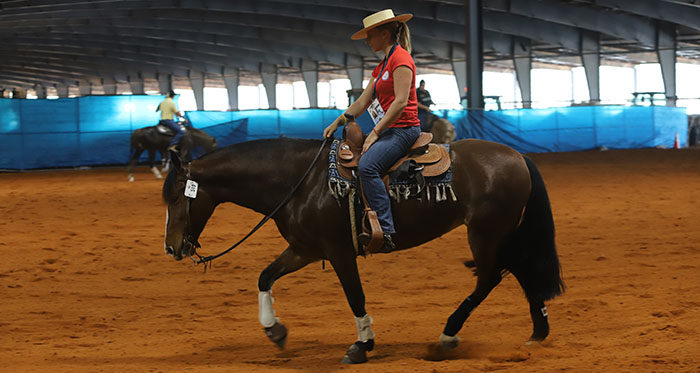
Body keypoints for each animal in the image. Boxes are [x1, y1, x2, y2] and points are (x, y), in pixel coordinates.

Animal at [163, 137, 564, 364]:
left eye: (176, 198)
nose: (171, 248)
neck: (300, 182)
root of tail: (517, 156)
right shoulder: (305, 249)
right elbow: (265, 277)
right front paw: (274, 331)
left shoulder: (339, 252)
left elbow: (355, 297)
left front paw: (362, 345)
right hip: (501, 234)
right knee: (522, 270)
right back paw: (539, 332)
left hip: (484, 233)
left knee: (490, 278)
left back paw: (448, 336)